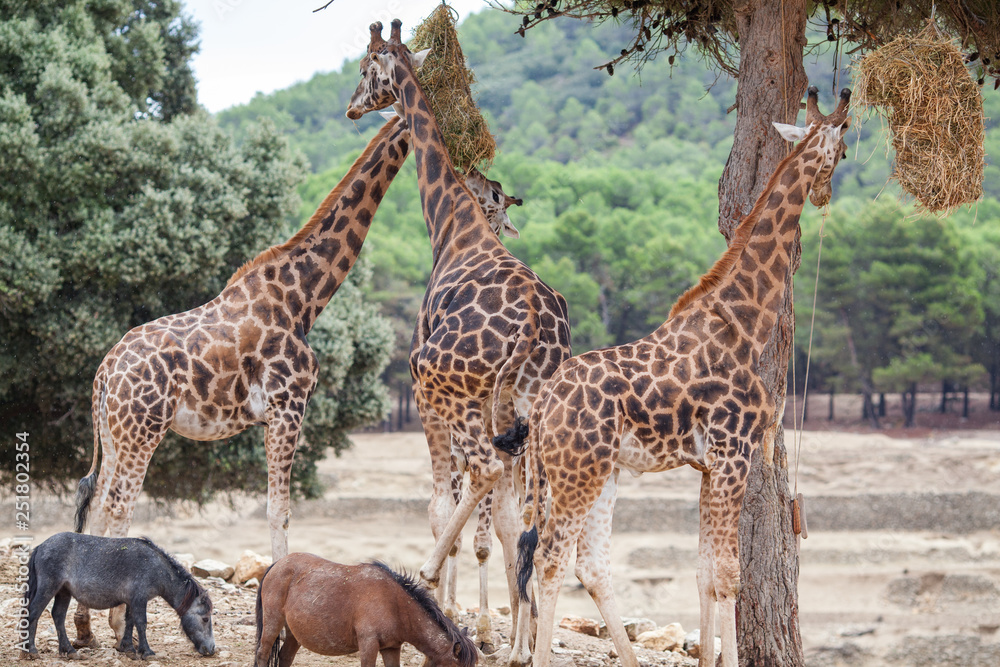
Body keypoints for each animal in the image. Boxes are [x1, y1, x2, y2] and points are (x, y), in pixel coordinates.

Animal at [346, 20, 571, 650]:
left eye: (367, 66)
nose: (351, 106)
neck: (450, 223)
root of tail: (537, 321)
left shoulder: (425, 391)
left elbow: (438, 501)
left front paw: (443, 602)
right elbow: (495, 519)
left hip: (459, 392)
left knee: (483, 477)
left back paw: (428, 577)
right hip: (527, 408)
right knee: (531, 517)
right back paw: (523, 643)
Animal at [507, 88, 852, 667]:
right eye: (844, 150)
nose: (826, 194)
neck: (744, 324)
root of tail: (544, 407)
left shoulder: (709, 465)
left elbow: (704, 573)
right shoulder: (734, 453)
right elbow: (730, 575)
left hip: (599, 473)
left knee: (587, 563)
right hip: (579, 473)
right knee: (552, 560)